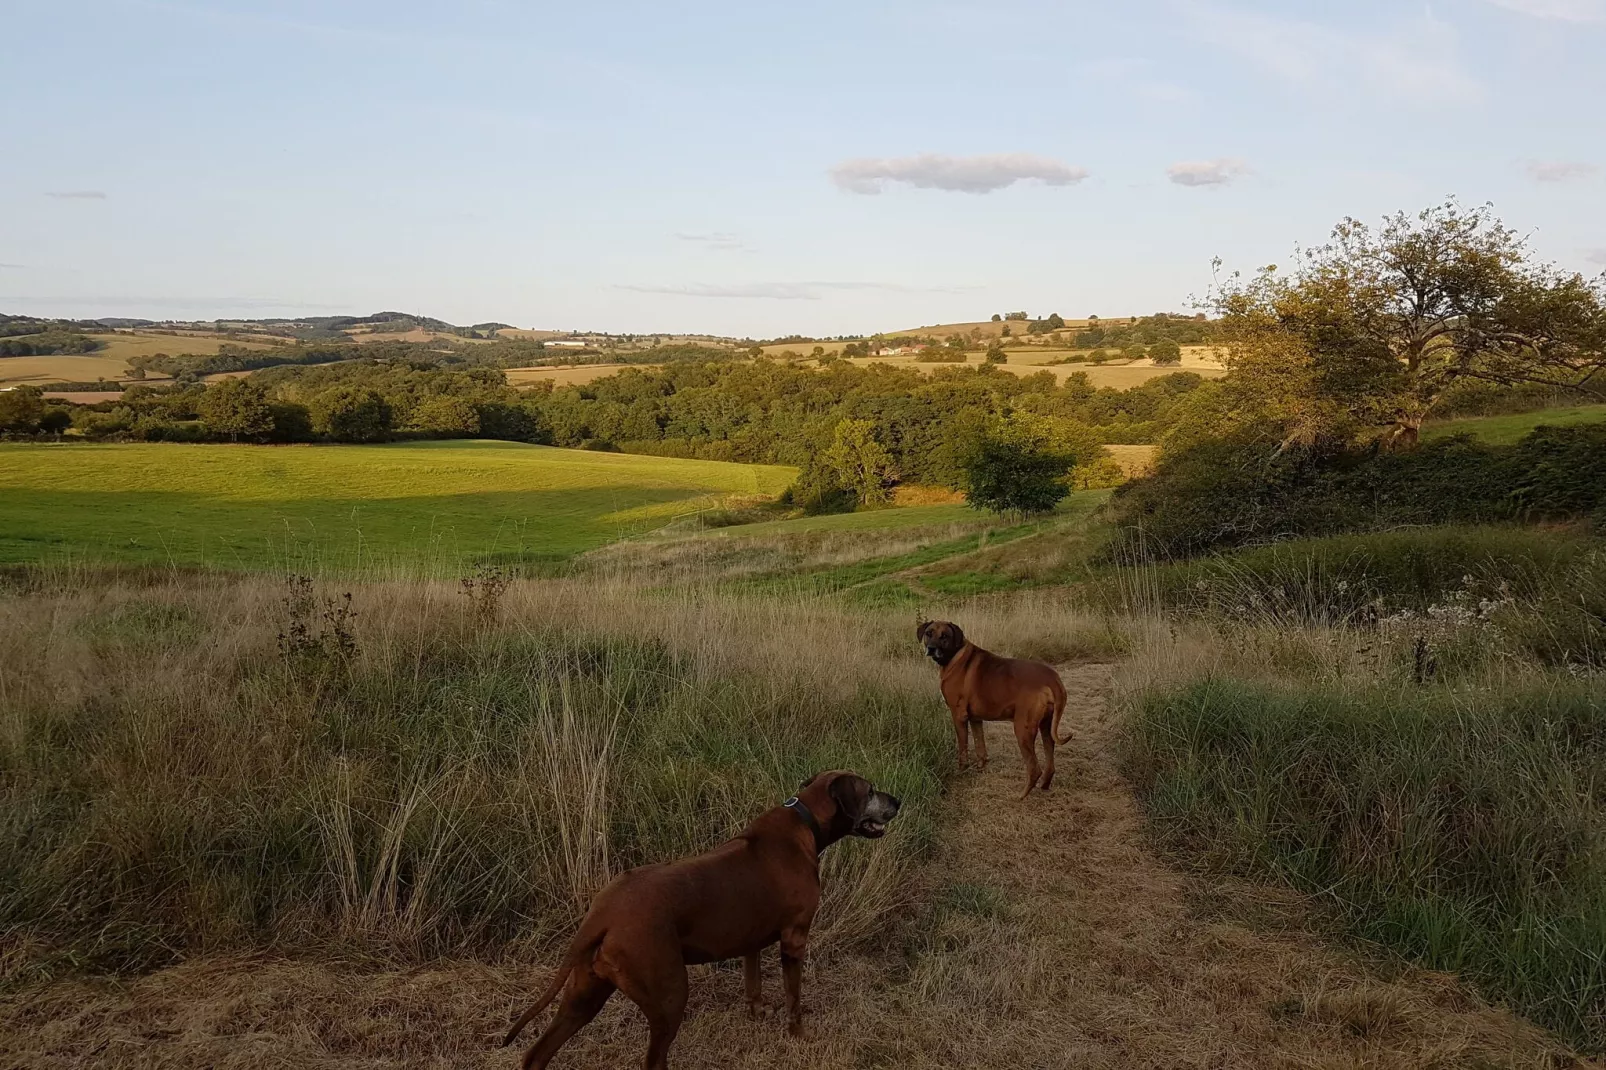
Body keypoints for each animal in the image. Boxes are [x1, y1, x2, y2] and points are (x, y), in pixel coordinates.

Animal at [501, 767, 905, 1066]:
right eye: (870, 790)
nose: (898, 800)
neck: (804, 820)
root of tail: (603, 912)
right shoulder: (794, 938)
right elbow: (794, 997)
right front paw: (799, 1037)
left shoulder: (752, 940)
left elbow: (753, 982)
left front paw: (757, 1014)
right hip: (668, 995)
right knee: (654, 1059)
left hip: (585, 993)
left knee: (537, 1055)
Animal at [918, 616, 1066, 790]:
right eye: (929, 633)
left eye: (944, 636)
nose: (931, 648)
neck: (955, 655)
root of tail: (1052, 678)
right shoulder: (975, 719)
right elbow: (980, 745)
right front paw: (981, 767)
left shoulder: (958, 715)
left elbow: (963, 747)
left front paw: (962, 770)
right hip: (1046, 725)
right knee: (1049, 761)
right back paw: (1043, 785)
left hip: (1023, 728)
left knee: (1034, 769)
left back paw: (1022, 794)